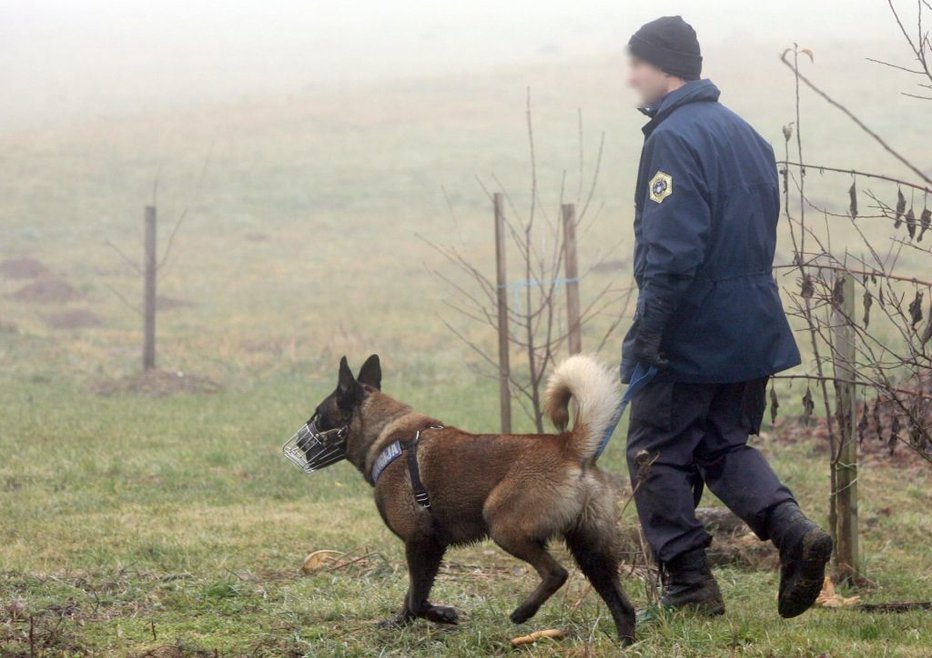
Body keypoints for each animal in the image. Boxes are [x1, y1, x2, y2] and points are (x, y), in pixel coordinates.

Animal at [302, 352, 636, 644]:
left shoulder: (422, 542)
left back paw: (523, 612)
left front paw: (442, 614)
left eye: (319, 416)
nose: (303, 448)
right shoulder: (427, 545)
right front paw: (401, 622)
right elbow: (412, 594)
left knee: (556, 573)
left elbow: (416, 597)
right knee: (622, 605)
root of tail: (570, 446)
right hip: (590, 550)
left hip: (503, 526)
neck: (386, 437)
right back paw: (625, 642)